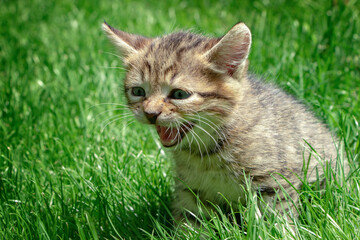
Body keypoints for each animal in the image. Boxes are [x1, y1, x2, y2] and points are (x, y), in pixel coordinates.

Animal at [102, 21, 348, 224]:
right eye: (138, 91)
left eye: (179, 94)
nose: (150, 113)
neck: (206, 154)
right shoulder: (191, 191)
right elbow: (191, 223)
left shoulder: (276, 181)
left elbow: (277, 221)